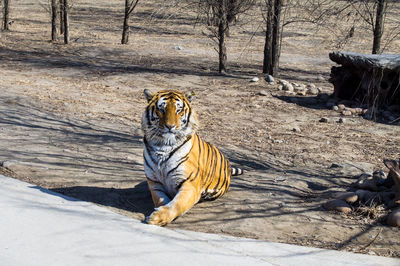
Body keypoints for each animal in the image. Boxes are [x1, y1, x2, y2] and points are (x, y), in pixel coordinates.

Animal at [142, 89, 242, 224]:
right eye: (161, 109)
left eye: (178, 110)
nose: (170, 126)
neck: (163, 145)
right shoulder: (154, 183)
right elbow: (161, 200)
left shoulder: (189, 183)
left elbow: (177, 204)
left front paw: (157, 217)